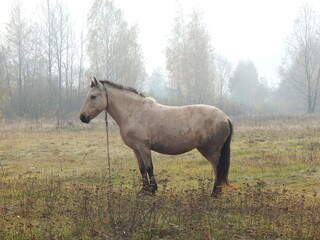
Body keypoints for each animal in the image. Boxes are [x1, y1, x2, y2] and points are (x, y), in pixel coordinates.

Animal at [79, 77, 234, 197]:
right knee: (217, 169)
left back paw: (214, 193)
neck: (134, 112)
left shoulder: (143, 147)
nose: (82, 117)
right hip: (205, 149)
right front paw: (143, 190)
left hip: (211, 150)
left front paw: (152, 190)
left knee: (217, 168)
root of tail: (225, 117)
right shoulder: (136, 149)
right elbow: (142, 169)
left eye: (93, 96)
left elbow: (149, 168)